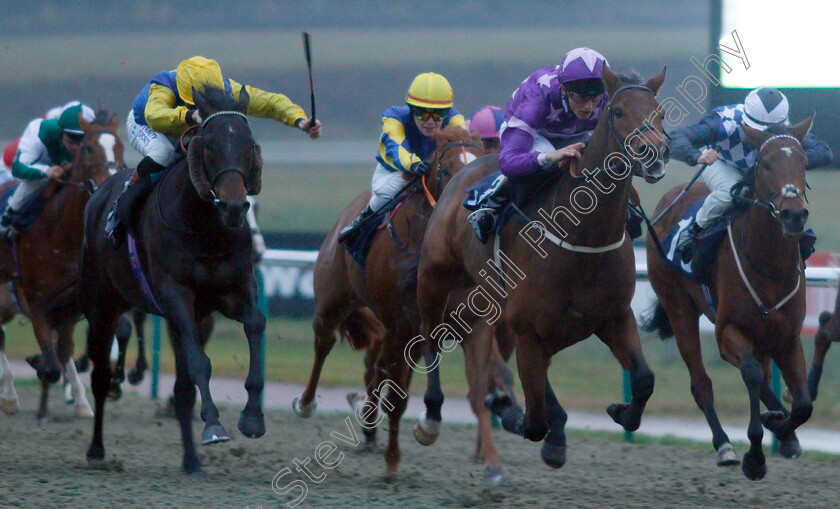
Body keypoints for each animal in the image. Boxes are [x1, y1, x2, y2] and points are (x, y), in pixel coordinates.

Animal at [0, 112, 123, 420]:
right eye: (89, 148)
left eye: (119, 147)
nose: (108, 185)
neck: (64, 231)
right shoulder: (36, 302)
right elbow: (53, 364)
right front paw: (39, 365)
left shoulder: (71, 305)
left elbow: (65, 350)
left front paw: (80, 401)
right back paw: (9, 397)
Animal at [80, 84, 266, 476]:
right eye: (209, 146)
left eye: (248, 145)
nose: (233, 207)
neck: (204, 227)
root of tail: (97, 193)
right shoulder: (176, 295)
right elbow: (200, 364)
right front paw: (214, 426)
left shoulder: (230, 293)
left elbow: (255, 323)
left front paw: (252, 417)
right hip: (101, 305)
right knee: (100, 376)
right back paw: (97, 448)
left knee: (181, 389)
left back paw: (191, 461)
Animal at [296, 126, 520, 480]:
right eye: (446, 170)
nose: (468, 209)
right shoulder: (414, 324)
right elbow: (401, 397)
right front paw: (401, 450)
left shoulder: (475, 323)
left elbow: (478, 392)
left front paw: (493, 463)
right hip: (334, 299)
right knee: (324, 342)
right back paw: (307, 404)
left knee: (377, 367)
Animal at [416, 67, 668, 468]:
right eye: (617, 111)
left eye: (659, 112)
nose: (654, 153)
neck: (583, 240)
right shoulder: (530, 330)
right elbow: (533, 421)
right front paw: (508, 410)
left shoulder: (612, 316)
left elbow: (643, 379)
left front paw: (619, 411)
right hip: (434, 278)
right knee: (430, 336)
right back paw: (432, 413)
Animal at [644, 116, 812, 480]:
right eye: (766, 164)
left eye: (804, 162)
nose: (793, 215)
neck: (769, 266)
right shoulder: (727, 333)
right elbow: (750, 374)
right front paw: (755, 456)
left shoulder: (788, 337)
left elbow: (803, 404)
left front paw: (783, 429)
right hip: (679, 309)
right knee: (701, 383)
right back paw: (724, 445)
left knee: (764, 378)